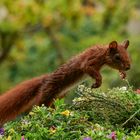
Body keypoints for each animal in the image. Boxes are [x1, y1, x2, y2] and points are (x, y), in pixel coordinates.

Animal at [0, 40, 131, 126]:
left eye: (128, 55)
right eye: (117, 57)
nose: (128, 67)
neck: (103, 55)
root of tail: (45, 79)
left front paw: (122, 74)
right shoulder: (91, 60)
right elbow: (89, 68)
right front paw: (97, 82)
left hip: (58, 96)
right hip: (47, 92)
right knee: (38, 106)